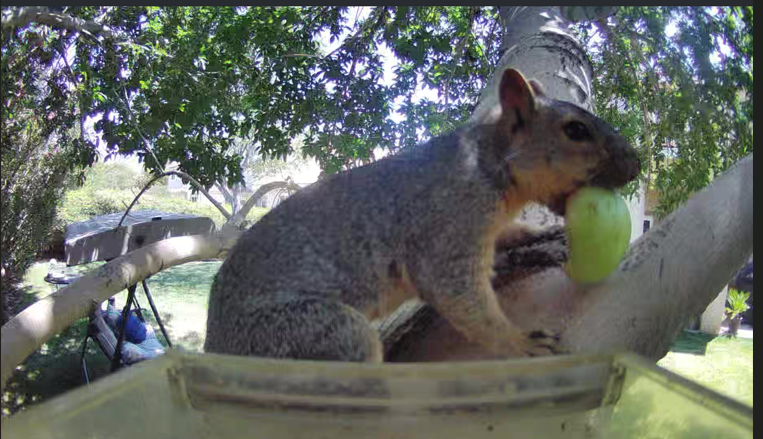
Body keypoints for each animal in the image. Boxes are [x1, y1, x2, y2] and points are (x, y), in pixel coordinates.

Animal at [204, 68, 640, 362]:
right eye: (576, 131)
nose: (636, 165)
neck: (486, 164)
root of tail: (216, 351)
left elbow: (507, 232)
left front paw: (529, 229)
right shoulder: (448, 224)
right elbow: (463, 299)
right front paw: (520, 342)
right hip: (319, 335)